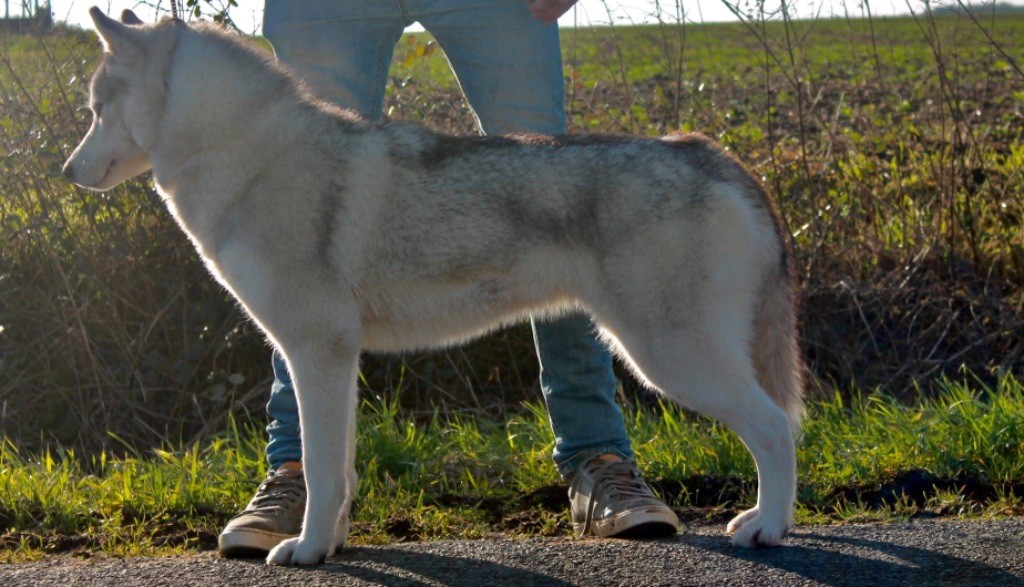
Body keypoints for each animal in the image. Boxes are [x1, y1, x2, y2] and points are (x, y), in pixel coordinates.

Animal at [64, 8, 802, 561]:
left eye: (96, 110)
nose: (67, 171)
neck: (250, 156)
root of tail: (705, 148)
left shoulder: (315, 351)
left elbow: (325, 471)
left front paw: (306, 551)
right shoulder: (331, 360)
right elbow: (341, 470)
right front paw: (329, 543)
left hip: (667, 358)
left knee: (775, 428)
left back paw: (767, 525)